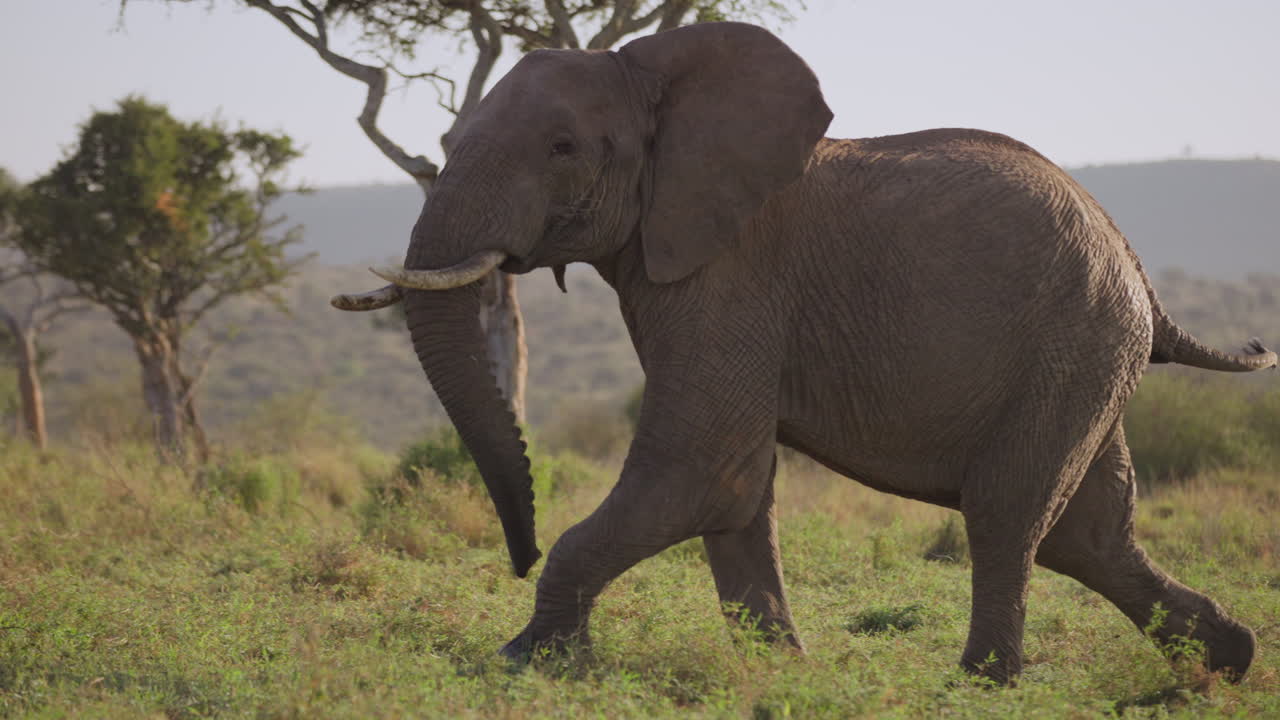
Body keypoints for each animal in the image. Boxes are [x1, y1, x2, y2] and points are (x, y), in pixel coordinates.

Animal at [332, 22, 1275, 685]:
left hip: (1073, 341)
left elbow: (702, 466)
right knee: (1087, 534)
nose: (515, 555)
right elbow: (737, 485)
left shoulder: (731, 272)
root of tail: (1139, 268)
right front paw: (780, 672)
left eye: (562, 148)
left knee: (1009, 510)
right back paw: (1228, 661)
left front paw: (523, 663)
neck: (652, 75)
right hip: (1088, 355)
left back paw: (982, 686)